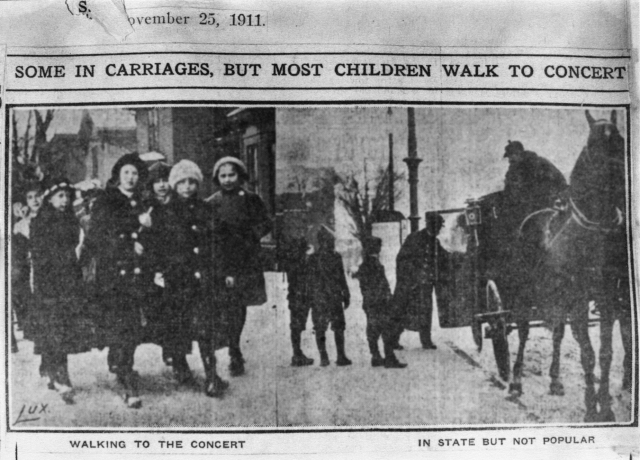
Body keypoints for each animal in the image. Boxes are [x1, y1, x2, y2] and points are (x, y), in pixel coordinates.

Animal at [516, 109, 632, 422]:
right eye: (594, 144)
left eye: (621, 140)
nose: (621, 181)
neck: (593, 232)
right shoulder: (579, 300)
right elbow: (587, 354)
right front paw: (592, 408)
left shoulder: (608, 299)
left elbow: (605, 353)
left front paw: (605, 406)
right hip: (527, 292)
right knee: (523, 329)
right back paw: (515, 380)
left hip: (557, 297)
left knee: (557, 332)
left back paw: (555, 380)